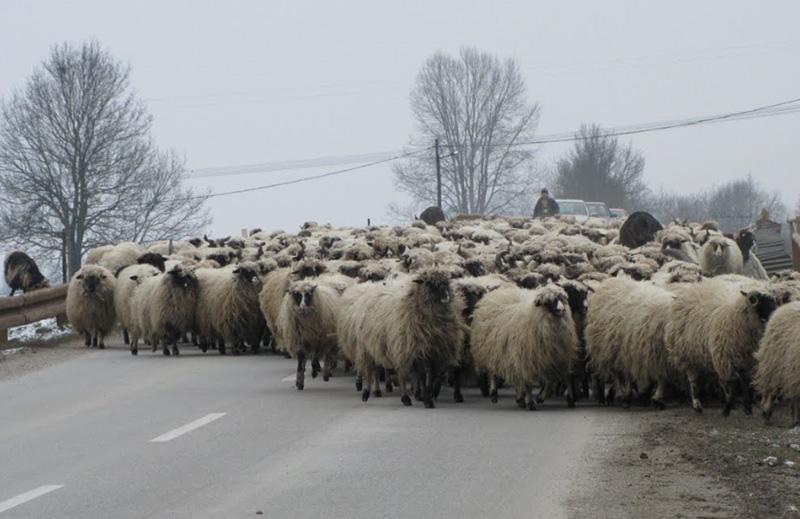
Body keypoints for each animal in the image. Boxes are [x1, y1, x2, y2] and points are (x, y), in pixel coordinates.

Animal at [664, 278, 780, 416]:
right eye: (762, 302)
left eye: (774, 301)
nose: (776, 315)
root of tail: (694, 289)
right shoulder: (728, 360)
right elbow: (733, 385)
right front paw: (728, 408)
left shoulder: (748, 362)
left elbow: (746, 385)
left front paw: (748, 407)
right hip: (687, 356)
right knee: (693, 380)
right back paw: (697, 404)